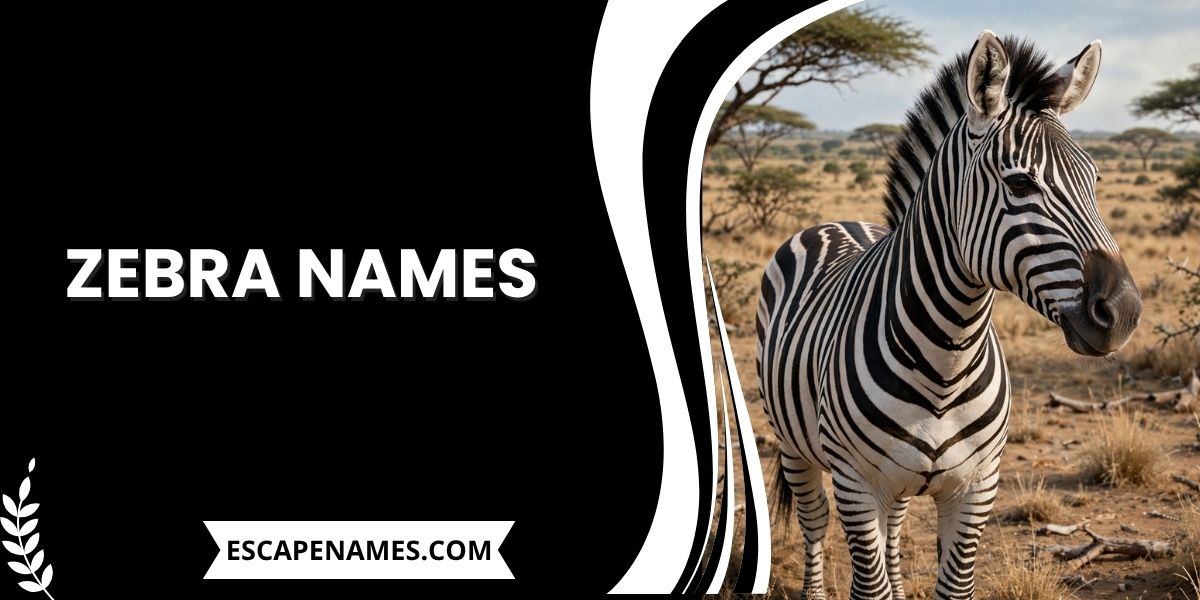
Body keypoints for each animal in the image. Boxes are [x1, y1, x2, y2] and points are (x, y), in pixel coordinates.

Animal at [756, 31, 1140, 600]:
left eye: (1094, 180)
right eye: (1020, 184)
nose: (1124, 312)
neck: (946, 362)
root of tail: (835, 222)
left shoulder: (976, 487)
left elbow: (953, 585)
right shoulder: (855, 481)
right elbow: (867, 585)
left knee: (894, 527)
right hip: (793, 445)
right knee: (813, 521)